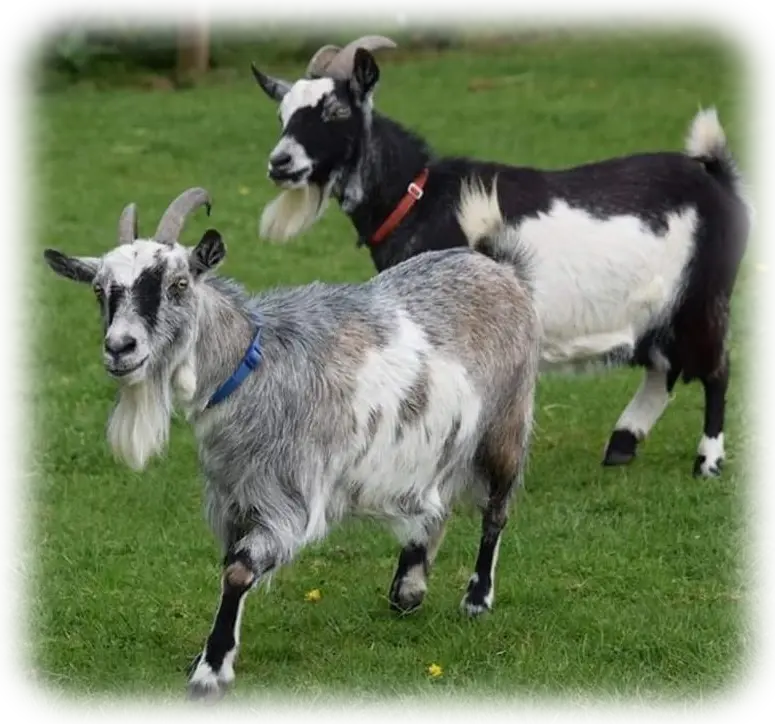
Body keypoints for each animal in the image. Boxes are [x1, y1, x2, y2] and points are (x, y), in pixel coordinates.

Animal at [43, 187, 539, 706]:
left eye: (178, 284)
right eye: (100, 290)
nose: (120, 347)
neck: (254, 366)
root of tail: (498, 269)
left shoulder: (288, 501)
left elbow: (238, 572)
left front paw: (210, 676)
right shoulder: (235, 500)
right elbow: (229, 566)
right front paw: (207, 659)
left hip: (506, 423)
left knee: (497, 509)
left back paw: (477, 598)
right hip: (434, 447)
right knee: (435, 506)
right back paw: (409, 588)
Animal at [250, 40, 756, 478]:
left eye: (336, 111)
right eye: (282, 114)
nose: (280, 163)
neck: (421, 196)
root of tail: (718, 178)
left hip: (703, 295)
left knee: (715, 369)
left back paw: (707, 461)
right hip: (661, 308)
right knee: (663, 367)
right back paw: (622, 444)